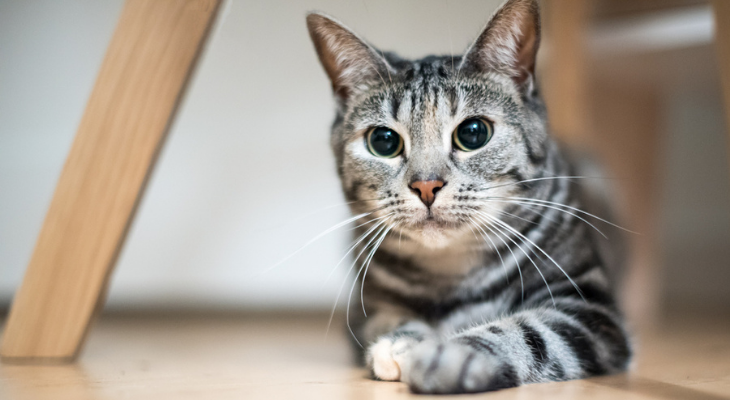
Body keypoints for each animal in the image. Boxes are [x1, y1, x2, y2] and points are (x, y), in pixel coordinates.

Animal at [304, 0, 628, 394]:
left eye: (473, 133)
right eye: (383, 141)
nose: (426, 185)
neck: (450, 278)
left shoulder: (591, 308)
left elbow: (531, 332)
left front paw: (452, 356)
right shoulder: (365, 309)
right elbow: (389, 318)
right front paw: (404, 342)